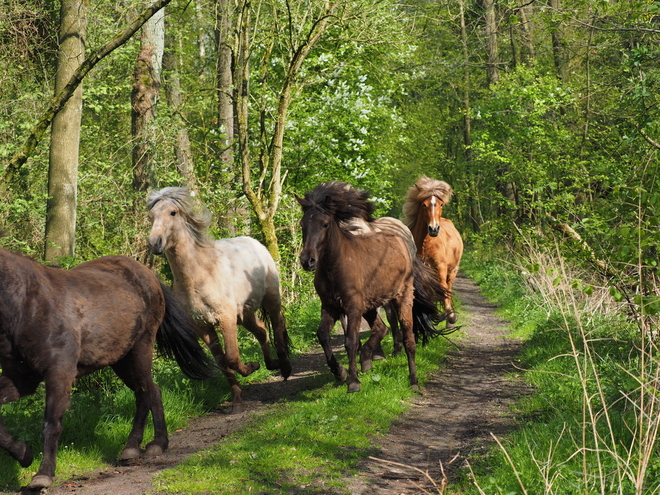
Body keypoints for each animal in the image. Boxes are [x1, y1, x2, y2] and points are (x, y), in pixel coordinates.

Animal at [0, 250, 214, 490]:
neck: (26, 306)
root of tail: (147, 273)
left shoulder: (59, 374)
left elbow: (51, 423)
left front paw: (43, 474)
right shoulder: (21, 379)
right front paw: (23, 454)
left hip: (140, 349)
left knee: (145, 393)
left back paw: (140, 446)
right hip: (121, 360)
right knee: (152, 391)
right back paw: (151, 444)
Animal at [147, 186, 292, 414]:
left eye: (173, 212)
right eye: (151, 216)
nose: (155, 243)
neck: (200, 275)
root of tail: (255, 242)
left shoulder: (226, 319)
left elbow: (232, 358)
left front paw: (251, 367)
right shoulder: (203, 326)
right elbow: (223, 362)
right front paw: (237, 401)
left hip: (271, 300)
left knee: (277, 326)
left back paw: (284, 367)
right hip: (245, 314)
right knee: (262, 330)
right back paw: (272, 364)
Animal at [300, 182, 448, 396]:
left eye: (325, 224)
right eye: (302, 224)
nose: (307, 261)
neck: (336, 266)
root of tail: (403, 245)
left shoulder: (353, 307)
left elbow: (351, 341)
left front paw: (353, 382)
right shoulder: (330, 306)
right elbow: (323, 335)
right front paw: (340, 372)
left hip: (401, 299)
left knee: (408, 338)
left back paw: (413, 380)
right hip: (370, 305)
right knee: (381, 328)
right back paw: (368, 360)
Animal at [402, 176, 464, 328]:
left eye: (441, 204)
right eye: (424, 205)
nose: (434, 229)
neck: (426, 244)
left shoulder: (440, 267)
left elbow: (443, 289)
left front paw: (451, 317)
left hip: (453, 270)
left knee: (448, 288)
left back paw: (450, 320)